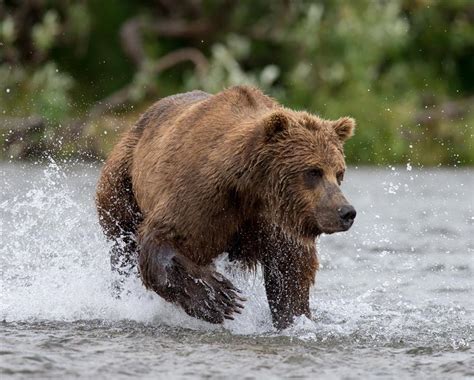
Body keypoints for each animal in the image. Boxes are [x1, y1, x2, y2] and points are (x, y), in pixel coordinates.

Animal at [96, 86, 356, 330]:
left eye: (339, 173)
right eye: (313, 171)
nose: (346, 212)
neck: (250, 187)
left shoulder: (275, 221)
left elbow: (290, 272)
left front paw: (293, 318)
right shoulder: (202, 197)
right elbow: (162, 239)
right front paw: (219, 298)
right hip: (123, 183)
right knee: (122, 247)